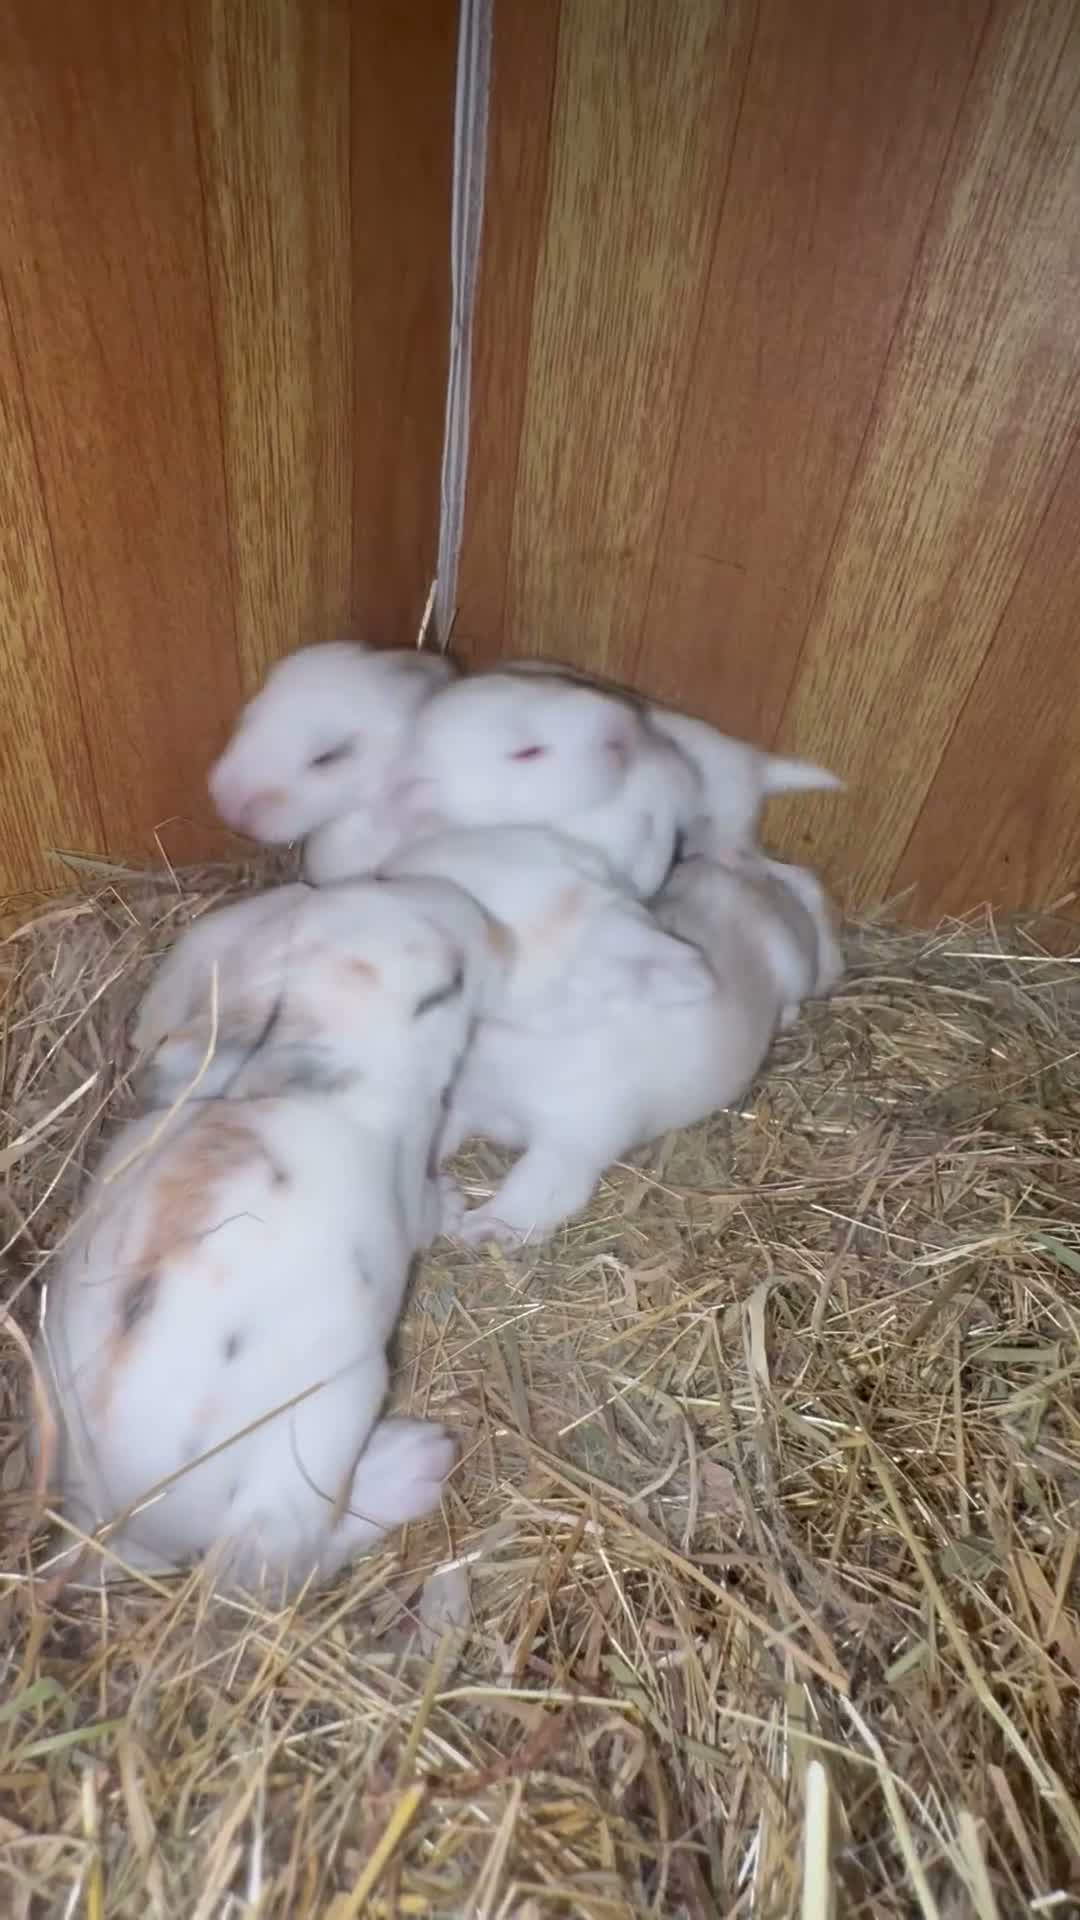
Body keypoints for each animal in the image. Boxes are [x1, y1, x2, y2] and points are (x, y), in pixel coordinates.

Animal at [37, 874, 508, 1597]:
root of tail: (123, 1515)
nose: (484, 925)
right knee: (290, 1565)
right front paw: (456, 1206)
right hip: (335, 1416)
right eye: (445, 987)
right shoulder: (410, 1171)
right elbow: (428, 1209)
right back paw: (413, 1464)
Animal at [385, 831, 842, 1248]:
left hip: (794, 965)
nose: (385, 877)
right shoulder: (464, 1106)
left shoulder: (572, 1144)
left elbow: (532, 1191)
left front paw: (481, 1228)